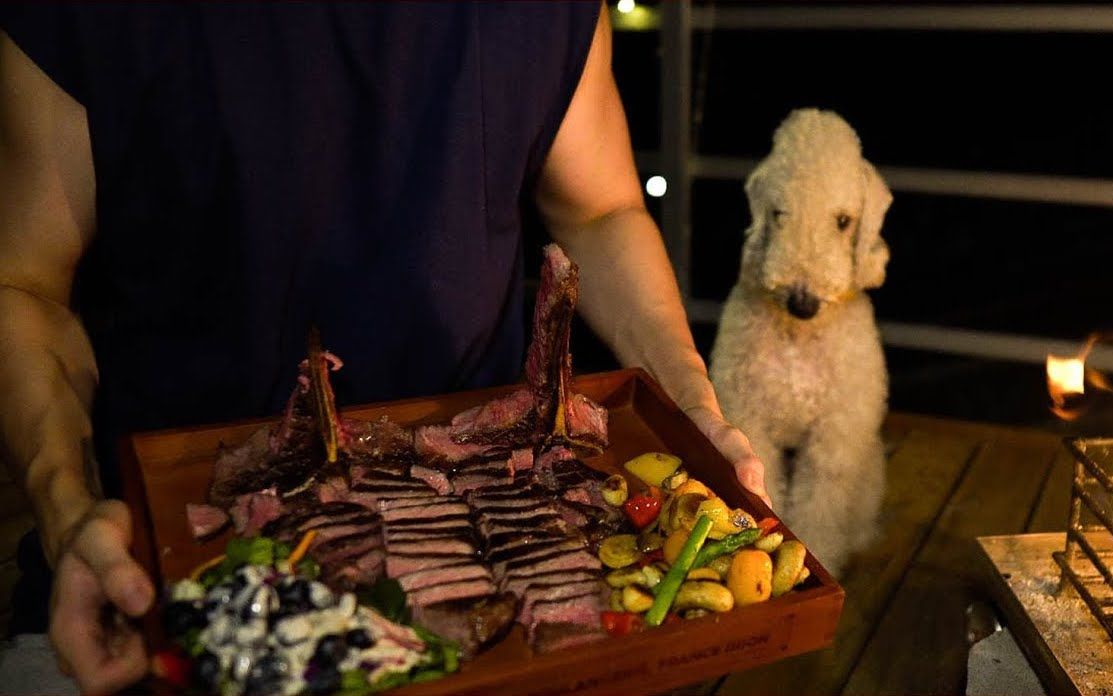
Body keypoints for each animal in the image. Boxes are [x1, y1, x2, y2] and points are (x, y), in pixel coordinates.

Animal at [712, 108, 894, 574]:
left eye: (843, 220)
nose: (802, 302)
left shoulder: (833, 439)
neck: (799, 337)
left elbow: (821, 507)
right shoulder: (752, 418)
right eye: (779, 213)